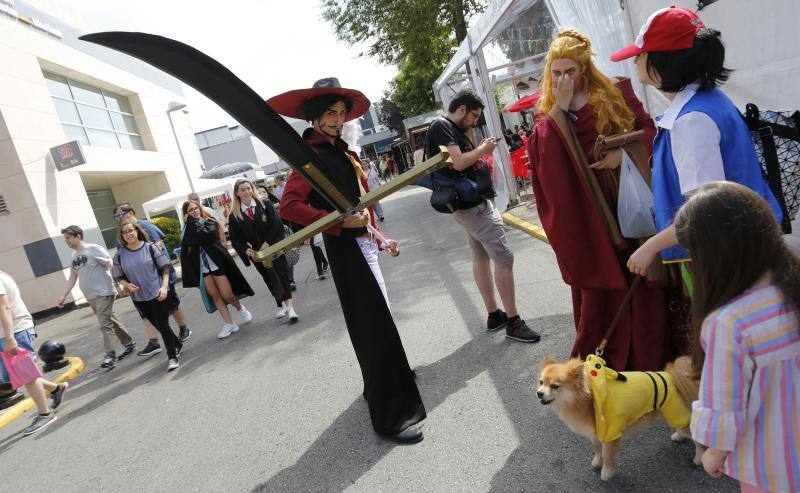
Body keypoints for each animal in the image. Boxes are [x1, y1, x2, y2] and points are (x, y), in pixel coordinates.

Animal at [536, 356, 700, 478]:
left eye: (555, 386)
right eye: (541, 382)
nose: (539, 393)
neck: (589, 398)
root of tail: (672, 376)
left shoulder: (610, 434)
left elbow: (607, 455)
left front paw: (606, 473)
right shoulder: (595, 432)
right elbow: (596, 449)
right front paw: (597, 462)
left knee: (696, 438)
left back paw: (698, 459)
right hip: (673, 412)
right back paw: (678, 436)